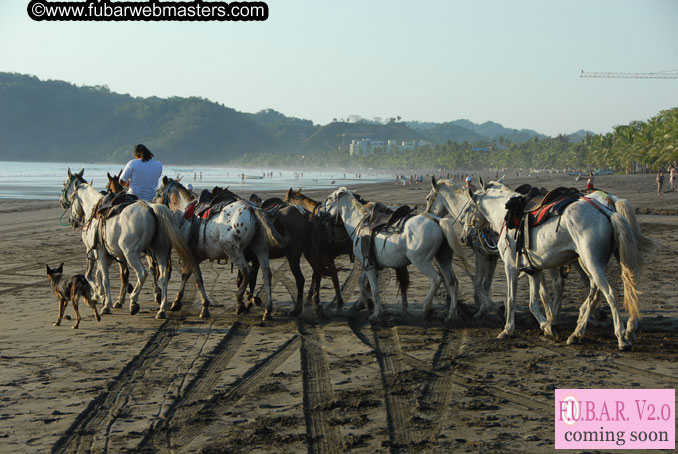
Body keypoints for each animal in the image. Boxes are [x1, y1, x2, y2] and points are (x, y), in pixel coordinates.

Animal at [60, 168, 195, 320]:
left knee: (142, 273)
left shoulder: (98, 252)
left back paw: (134, 301)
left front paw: (105, 302)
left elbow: (100, 277)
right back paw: (161, 308)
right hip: (160, 251)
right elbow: (106, 275)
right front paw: (103, 296)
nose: (71, 219)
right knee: (163, 276)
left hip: (131, 253)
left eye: (66, 188)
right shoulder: (114, 255)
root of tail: (151, 208)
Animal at [155, 176, 286, 320]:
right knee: (266, 274)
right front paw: (177, 302)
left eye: (158, 193)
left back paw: (240, 302)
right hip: (260, 248)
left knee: (247, 271)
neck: (185, 213)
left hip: (232, 251)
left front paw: (203, 307)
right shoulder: (196, 256)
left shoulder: (191, 255)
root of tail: (252, 208)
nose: (153, 203)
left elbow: (196, 278)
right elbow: (187, 275)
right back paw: (267, 310)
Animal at [322, 186, 468, 320]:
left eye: (329, 198)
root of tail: (436, 220)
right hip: (443, 259)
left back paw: (426, 307)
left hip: (421, 261)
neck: (359, 223)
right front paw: (365, 303)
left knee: (436, 279)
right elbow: (361, 281)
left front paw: (376, 313)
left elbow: (374, 290)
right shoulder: (368, 264)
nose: (321, 213)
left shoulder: (369, 266)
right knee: (452, 282)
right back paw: (451, 314)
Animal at [462, 179, 652, 350]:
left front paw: (508, 330)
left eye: (468, 209)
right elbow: (534, 302)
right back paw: (577, 333)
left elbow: (511, 299)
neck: (507, 215)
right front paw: (547, 326)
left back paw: (621, 337)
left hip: (591, 263)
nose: (465, 236)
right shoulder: (534, 270)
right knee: (597, 294)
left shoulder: (510, 266)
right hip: (593, 264)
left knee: (609, 294)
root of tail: (607, 212)